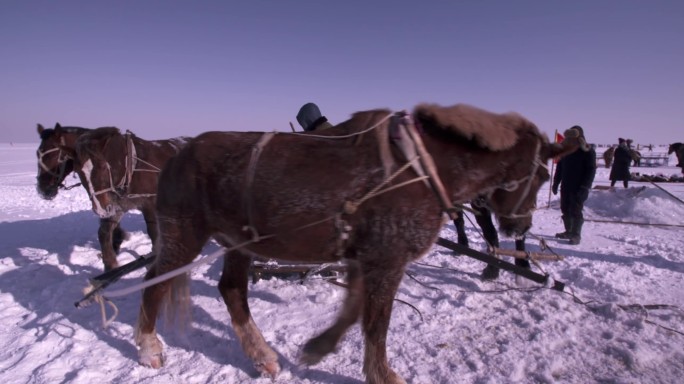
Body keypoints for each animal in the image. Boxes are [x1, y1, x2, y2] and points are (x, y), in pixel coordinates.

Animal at [36, 124, 188, 272]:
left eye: (52, 155)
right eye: (79, 171)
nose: (42, 189)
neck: (130, 167)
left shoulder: (149, 205)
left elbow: (154, 234)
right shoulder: (115, 205)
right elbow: (103, 233)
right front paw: (110, 263)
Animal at [135, 103, 584, 382]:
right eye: (543, 175)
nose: (519, 226)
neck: (423, 170)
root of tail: (175, 155)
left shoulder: (362, 258)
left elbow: (354, 314)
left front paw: (318, 348)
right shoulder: (386, 261)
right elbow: (376, 324)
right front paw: (382, 375)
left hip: (238, 243)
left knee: (231, 290)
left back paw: (262, 356)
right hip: (185, 236)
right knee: (155, 281)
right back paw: (148, 347)